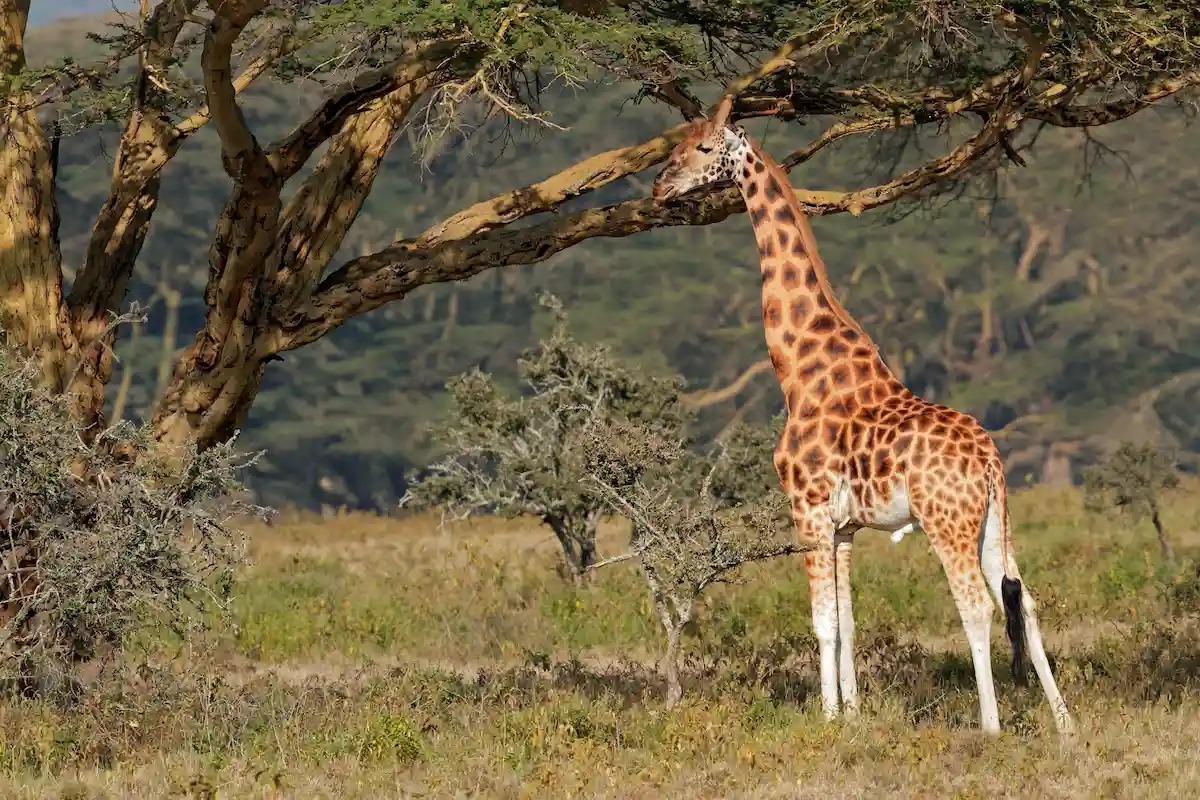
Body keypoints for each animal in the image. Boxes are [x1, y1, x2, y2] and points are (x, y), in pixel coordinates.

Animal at [650, 95, 1074, 736]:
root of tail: (992, 462)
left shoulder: (807, 510)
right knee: (1023, 600)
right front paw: (853, 715)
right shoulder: (845, 526)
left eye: (702, 147)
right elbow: (848, 622)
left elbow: (823, 622)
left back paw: (991, 726)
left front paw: (827, 717)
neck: (798, 366)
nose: (659, 185)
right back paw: (1066, 726)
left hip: (945, 523)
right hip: (993, 523)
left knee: (977, 605)